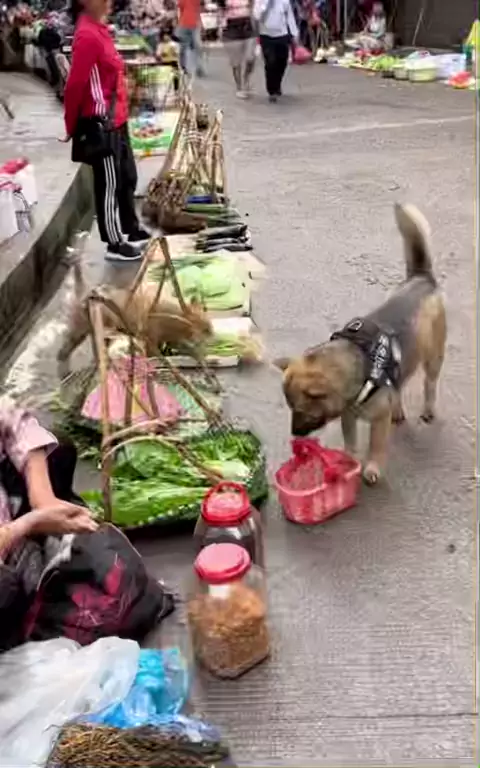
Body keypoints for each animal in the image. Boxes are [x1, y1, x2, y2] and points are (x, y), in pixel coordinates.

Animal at [57, 258, 213, 380]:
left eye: (207, 322)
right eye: (205, 327)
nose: (213, 334)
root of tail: (83, 296)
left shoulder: (171, 340)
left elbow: (195, 355)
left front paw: (210, 375)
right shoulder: (151, 341)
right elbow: (154, 358)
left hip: (87, 330)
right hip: (86, 328)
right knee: (65, 352)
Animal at [275, 203, 446, 485]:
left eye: (301, 409)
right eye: (290, 408)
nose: (294, 434)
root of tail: (421, 279)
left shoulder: (377, 422)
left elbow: (376, 445)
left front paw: (372, 467)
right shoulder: (348, 417)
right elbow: (351, 442)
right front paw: (349, 461)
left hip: (433, 358)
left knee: (430, 384)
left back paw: (429, 408)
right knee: (399, 386)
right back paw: (398, 409)